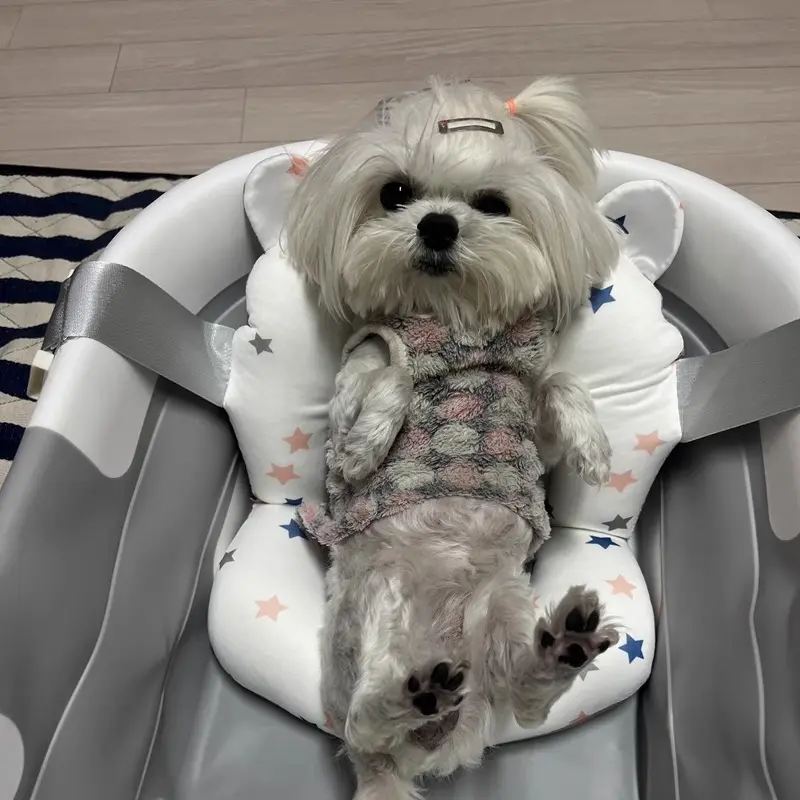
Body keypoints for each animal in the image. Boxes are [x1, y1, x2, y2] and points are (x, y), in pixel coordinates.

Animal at [285, 77, 621, 800]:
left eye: (493, 203)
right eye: (395, 193)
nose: (437, 223)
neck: (454, 327)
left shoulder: (528, 411)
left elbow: (560, 382)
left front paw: (592, 446)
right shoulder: (360, 366)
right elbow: (387, 383)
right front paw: (366, 448)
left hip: (502, 612)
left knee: (523, 698)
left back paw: (561, 651)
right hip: (369, 618)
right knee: (363, 721)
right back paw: (411, 700)